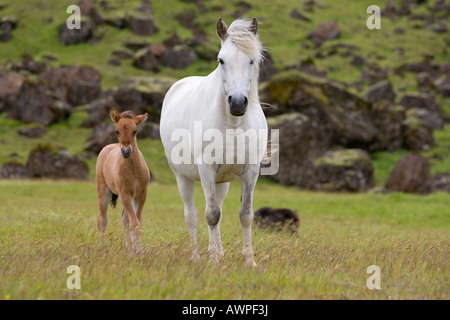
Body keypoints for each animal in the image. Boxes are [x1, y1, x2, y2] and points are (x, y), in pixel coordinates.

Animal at [160, 18, 268, 268]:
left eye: (251, 60)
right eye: (221, 60)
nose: (237, 103)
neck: (233, 125)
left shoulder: (251, 170)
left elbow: (245, 215)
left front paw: (249, 261)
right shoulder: (206, 169)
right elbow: (211, 215)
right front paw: (216, 262)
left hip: (222, 183)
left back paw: (216, 252)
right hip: (183, 178)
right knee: (192, 216)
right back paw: (198, 256)